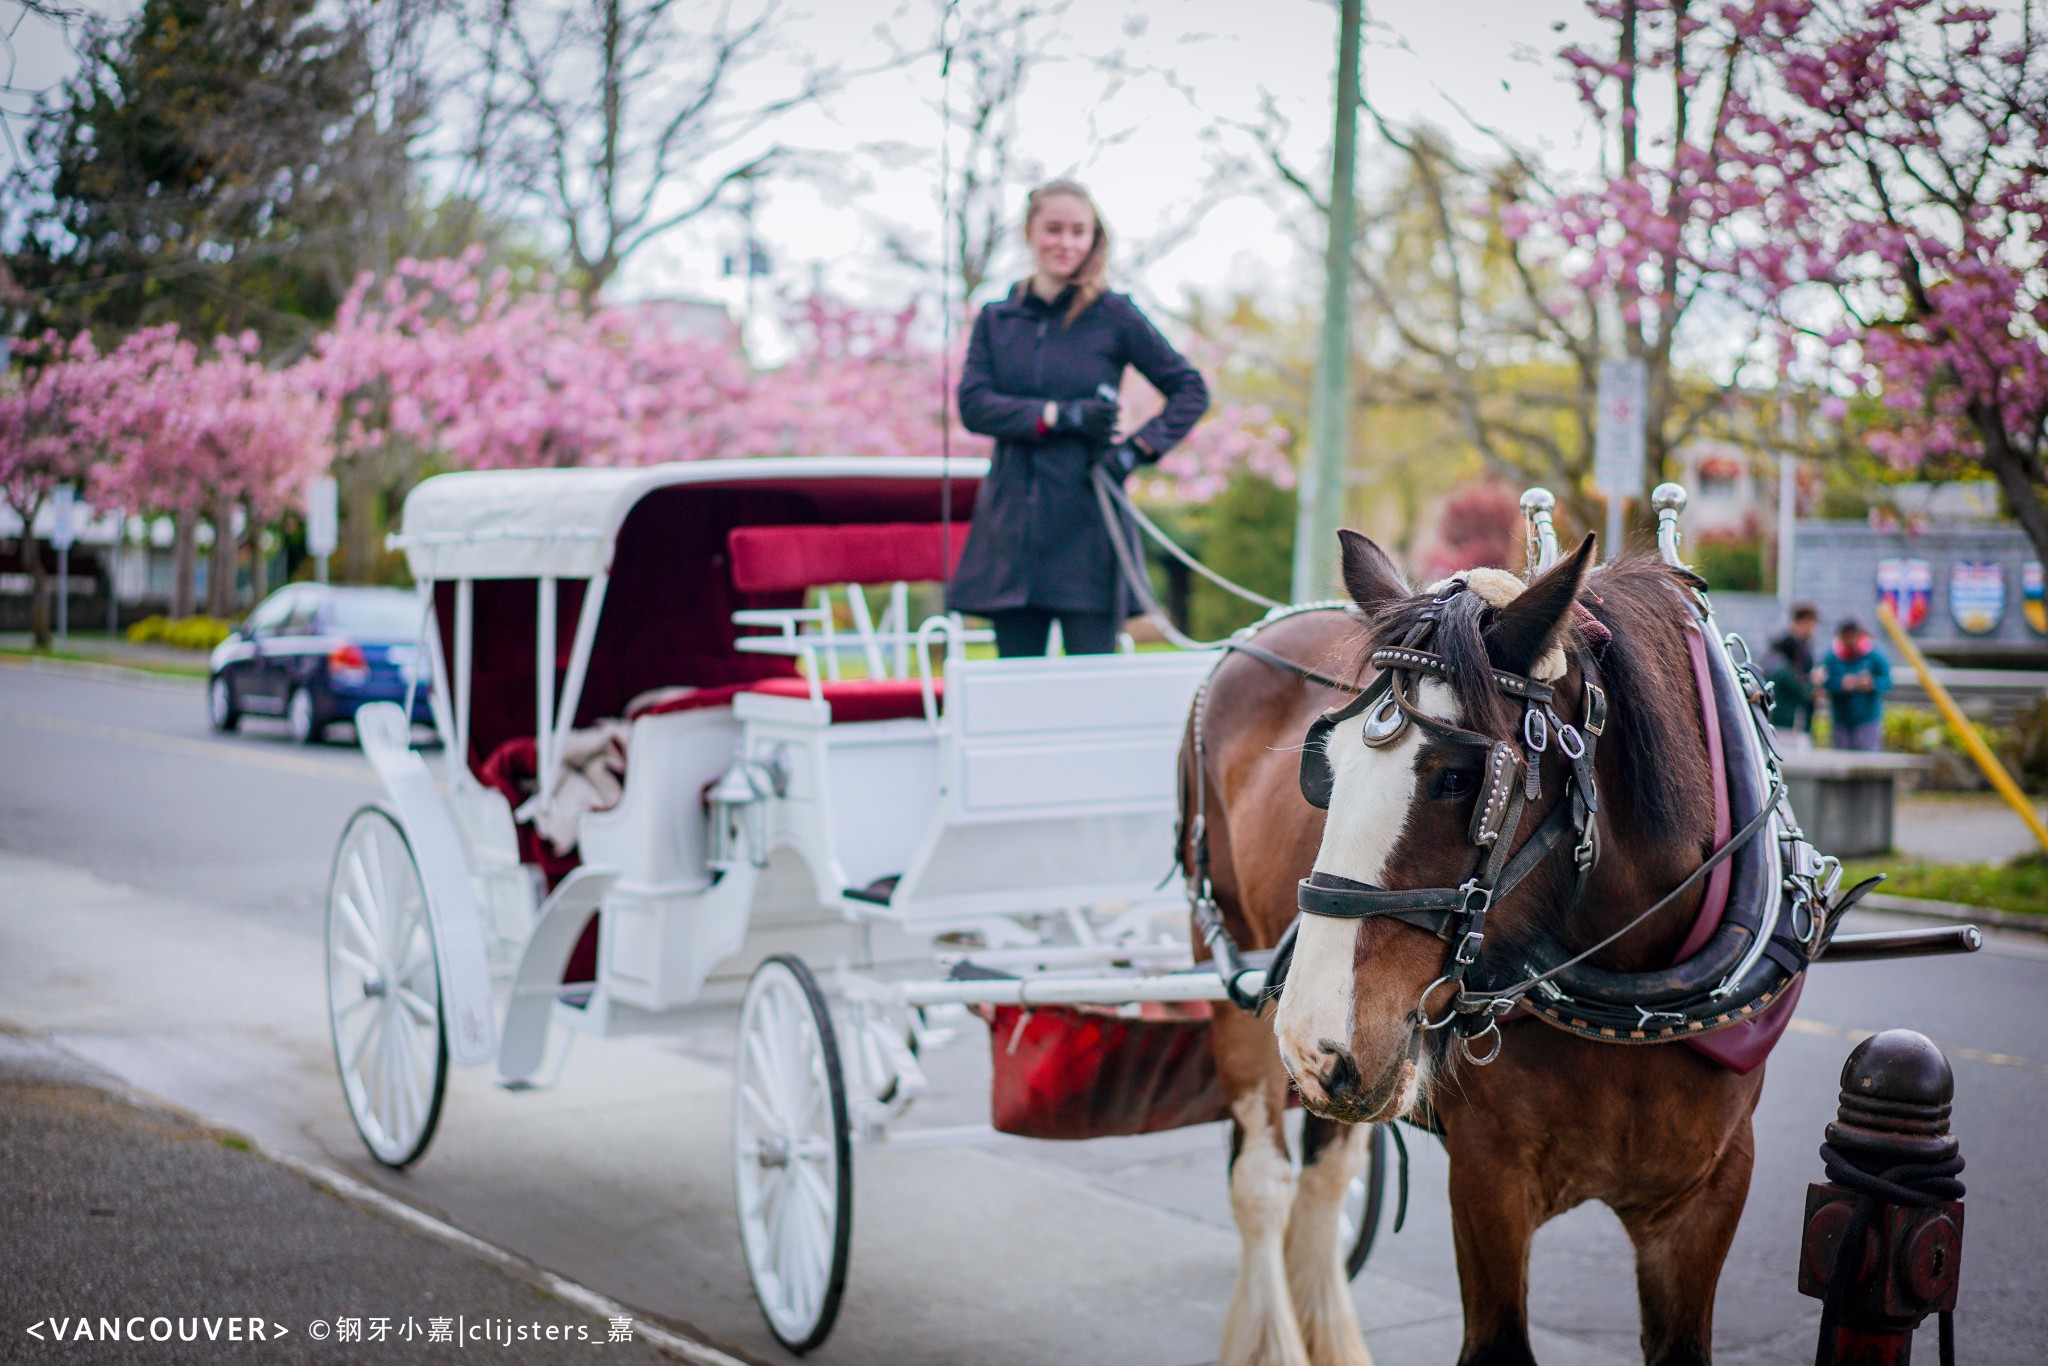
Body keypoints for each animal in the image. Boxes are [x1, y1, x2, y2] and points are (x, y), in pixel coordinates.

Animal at [1196, 532, 1769, 1366]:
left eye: (1458, 777)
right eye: (1323, 767)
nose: (1311, 1041)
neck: (1635, 998)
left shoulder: (1711, 1192)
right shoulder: (1487, 1180)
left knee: (1325, 1178)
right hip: (1234, 967)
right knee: (1262, 1184)